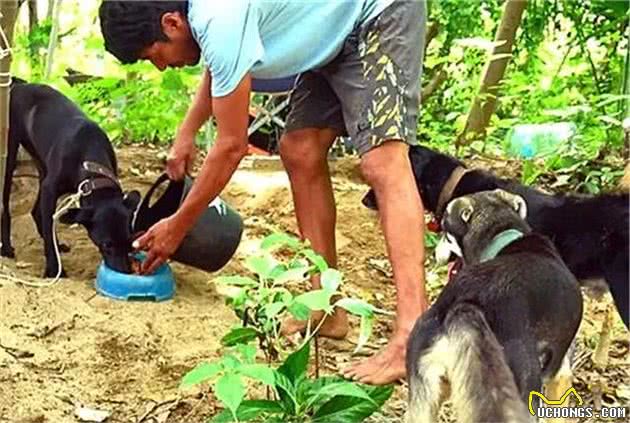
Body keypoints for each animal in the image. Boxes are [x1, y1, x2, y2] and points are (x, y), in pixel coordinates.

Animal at [1, 79, 141, 278]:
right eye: (107, 244)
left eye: (130, 241)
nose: (125, 272)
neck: (90, 163)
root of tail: (22, 85)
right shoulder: (50, 189)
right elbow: (49, 226)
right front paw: (54, 269)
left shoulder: (50, 187)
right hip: (10, 157)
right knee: (6, 207)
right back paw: (6, 248)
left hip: (42, 166)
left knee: (36, 212)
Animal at [408, 190, 584, 423]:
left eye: (445, 231)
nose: (436, 255)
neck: (504, 238)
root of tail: (463, 308)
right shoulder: (560, 373)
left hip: (423, 399)